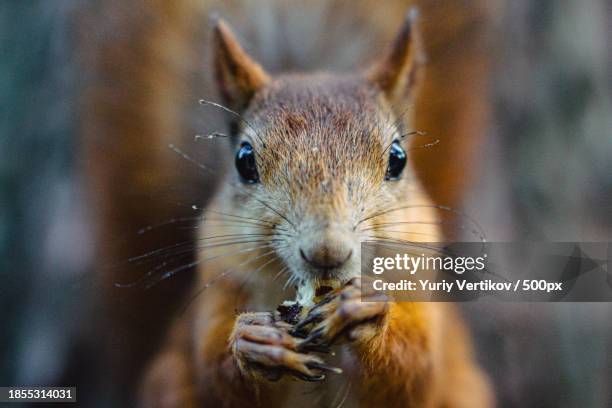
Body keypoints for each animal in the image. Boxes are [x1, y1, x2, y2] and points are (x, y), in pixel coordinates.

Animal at [80, 0, 492, 404]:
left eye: (398, 159)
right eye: (244, 161)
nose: (327, 252)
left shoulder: (423, 300)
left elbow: (415, 372)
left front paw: (364, 310)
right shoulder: (218, 290)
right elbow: (215, 376)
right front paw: (255, 343)